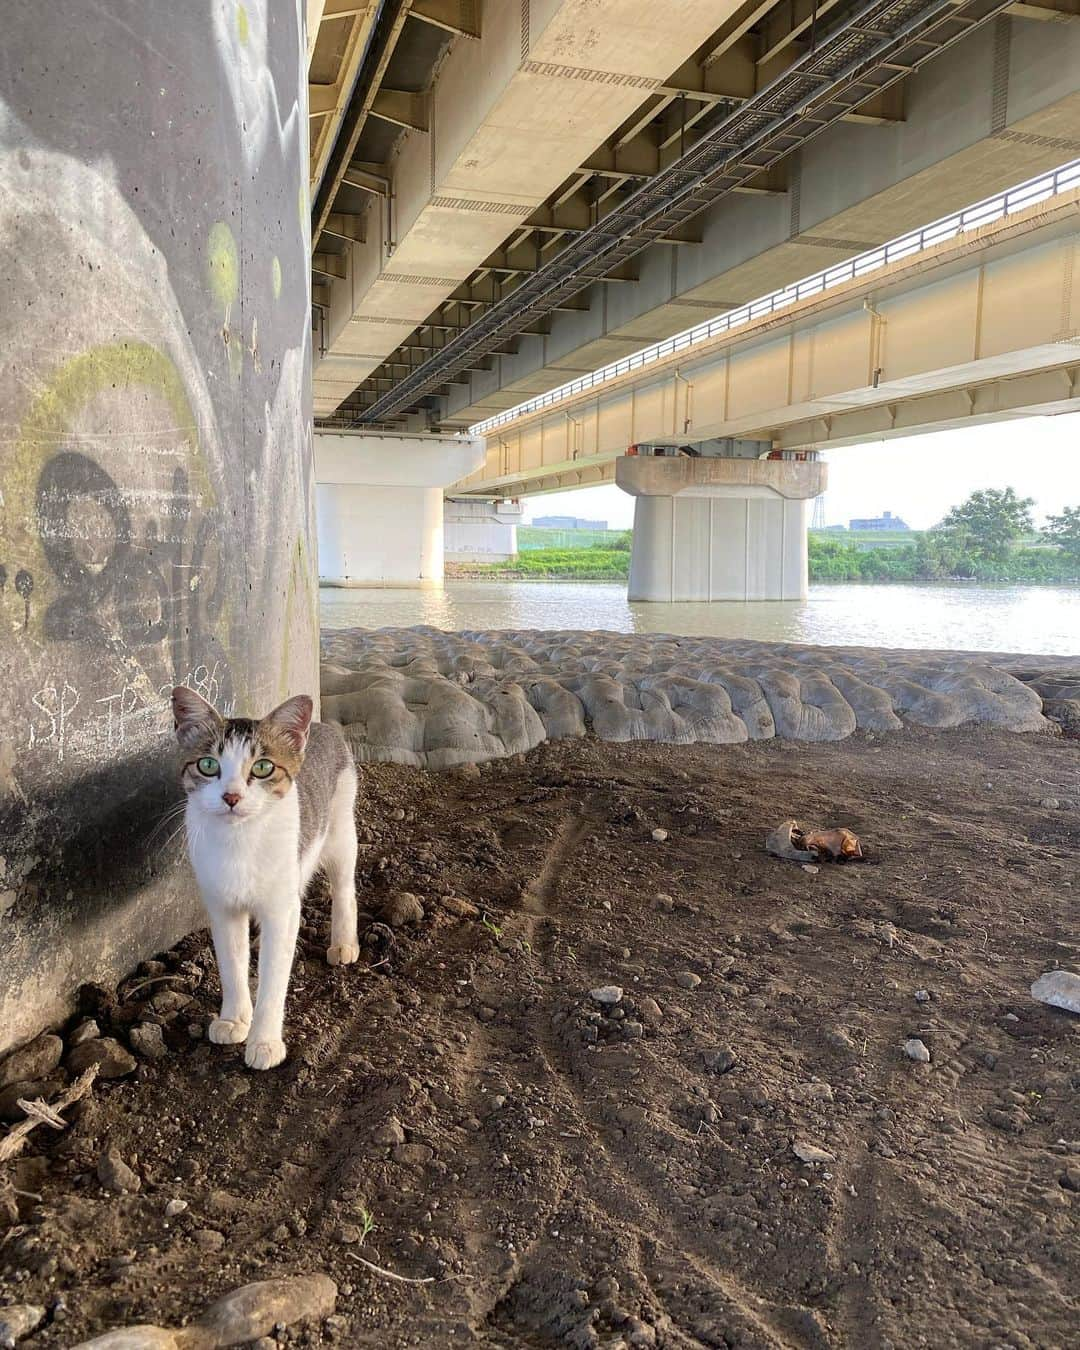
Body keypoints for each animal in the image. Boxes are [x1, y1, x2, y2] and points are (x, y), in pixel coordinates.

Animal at [170, 691, 359, 1069]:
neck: (239, 842)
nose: (231, 796)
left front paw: (265, 1041)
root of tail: (322, 726)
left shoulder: (280, 910)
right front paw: (233, 1020)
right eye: (208, 765)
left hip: (340, 831)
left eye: (262, 768)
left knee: (345, 887)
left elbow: (274, 977)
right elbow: (231, 964)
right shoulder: (222, 908)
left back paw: (344, 943)